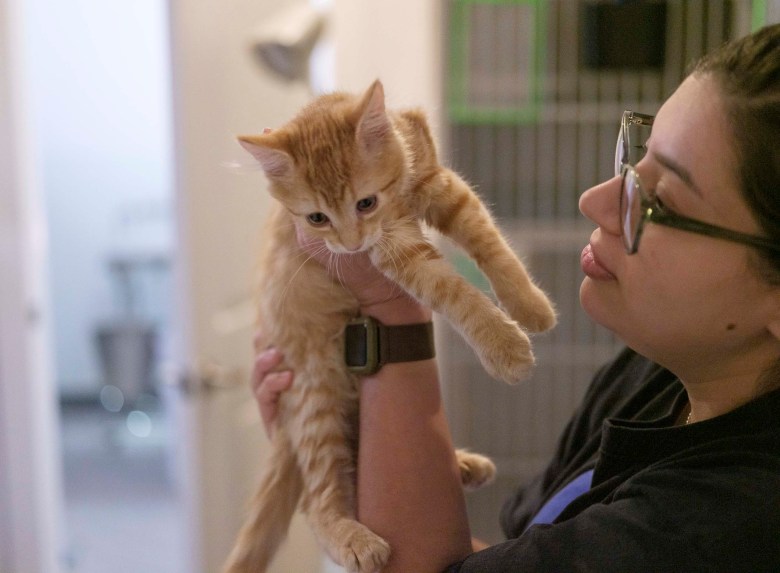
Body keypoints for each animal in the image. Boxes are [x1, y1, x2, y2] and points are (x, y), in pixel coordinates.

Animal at [222, 79, 556, 572]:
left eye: (365, 203)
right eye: (317, 218)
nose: (349, 244)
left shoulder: (439, 183)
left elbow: (491, 244)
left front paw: (529, 305)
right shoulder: (391, 250)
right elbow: (452, 291)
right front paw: (504, 346)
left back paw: (462, 464)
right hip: (315, 394)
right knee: (317, 497)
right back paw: (353, 539)